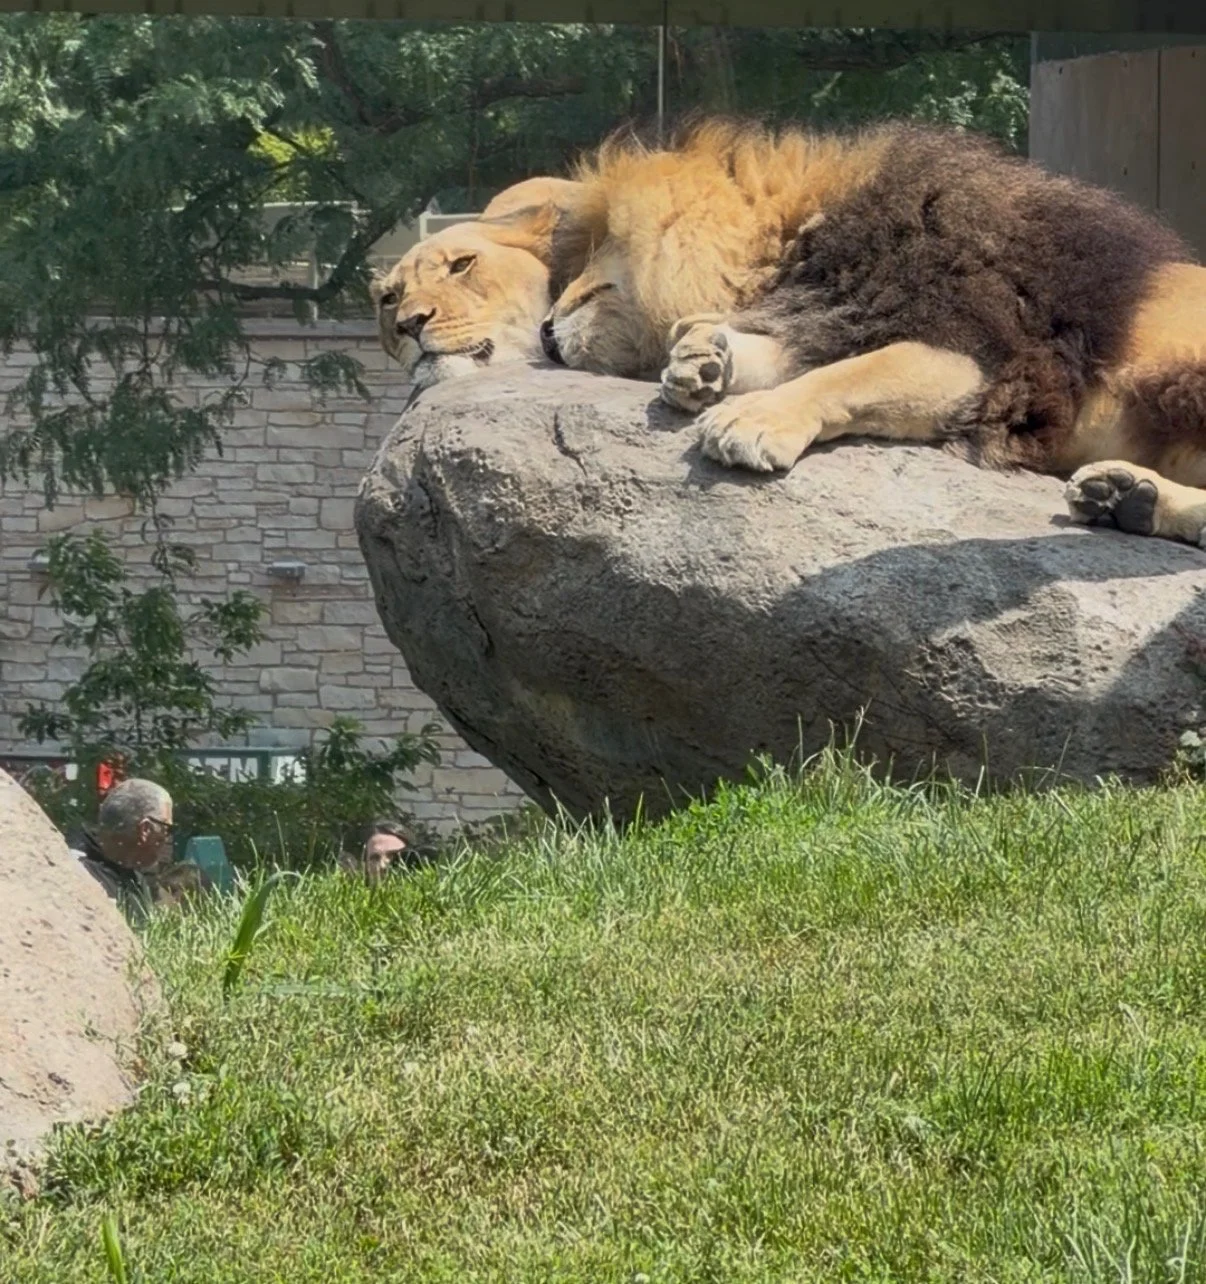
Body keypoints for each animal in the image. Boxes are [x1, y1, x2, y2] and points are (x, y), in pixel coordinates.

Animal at [539, 120, 1206, 548]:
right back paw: (1127, 497)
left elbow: (848, 374)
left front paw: (752, 418)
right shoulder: (842, 319)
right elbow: (795, 355)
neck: (802, 250)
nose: (544, 334)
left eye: (593, 258)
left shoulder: (976, 354)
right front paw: (703, 359)